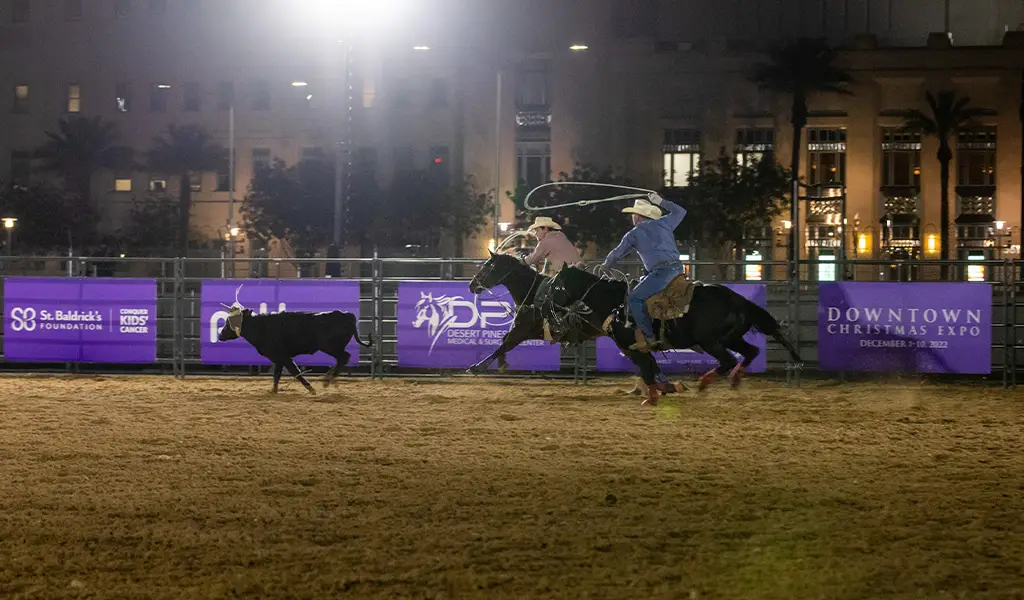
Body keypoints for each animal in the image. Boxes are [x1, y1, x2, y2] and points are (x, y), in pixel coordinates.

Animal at [217, 295, 372, 395]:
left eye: (230, 321)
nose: (220, 335)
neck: (261, 326)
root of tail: (346, 315)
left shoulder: (283, 356)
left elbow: (295, 372)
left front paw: (311, 389)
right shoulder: (278, 358)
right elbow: (277, 375)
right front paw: (273, 391)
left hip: (330, 347)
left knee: (344, 357)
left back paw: (328, 379)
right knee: (341, 359)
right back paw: (328, 377)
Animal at [466, 252, 685, 396]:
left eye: (488, 266)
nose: (471, 285)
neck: (533, 294)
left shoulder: (522, 331)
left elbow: (503, 344)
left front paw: (477, 367)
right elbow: (503, 343)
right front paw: (501, 364)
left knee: (646, 360)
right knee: (646, 361)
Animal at [548, 264, 801, 405]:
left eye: (554, 285)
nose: (547, 306)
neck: (615, 302)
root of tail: (738, 299)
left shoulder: (632, 348)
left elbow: (648, 370)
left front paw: (652, 397)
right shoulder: (638, 350)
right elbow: (652, 368)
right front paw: (665, 389)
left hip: (711, 342)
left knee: (728, 360)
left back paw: (705, 382)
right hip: (731, 338)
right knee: (751, 351)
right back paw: (734, 380)